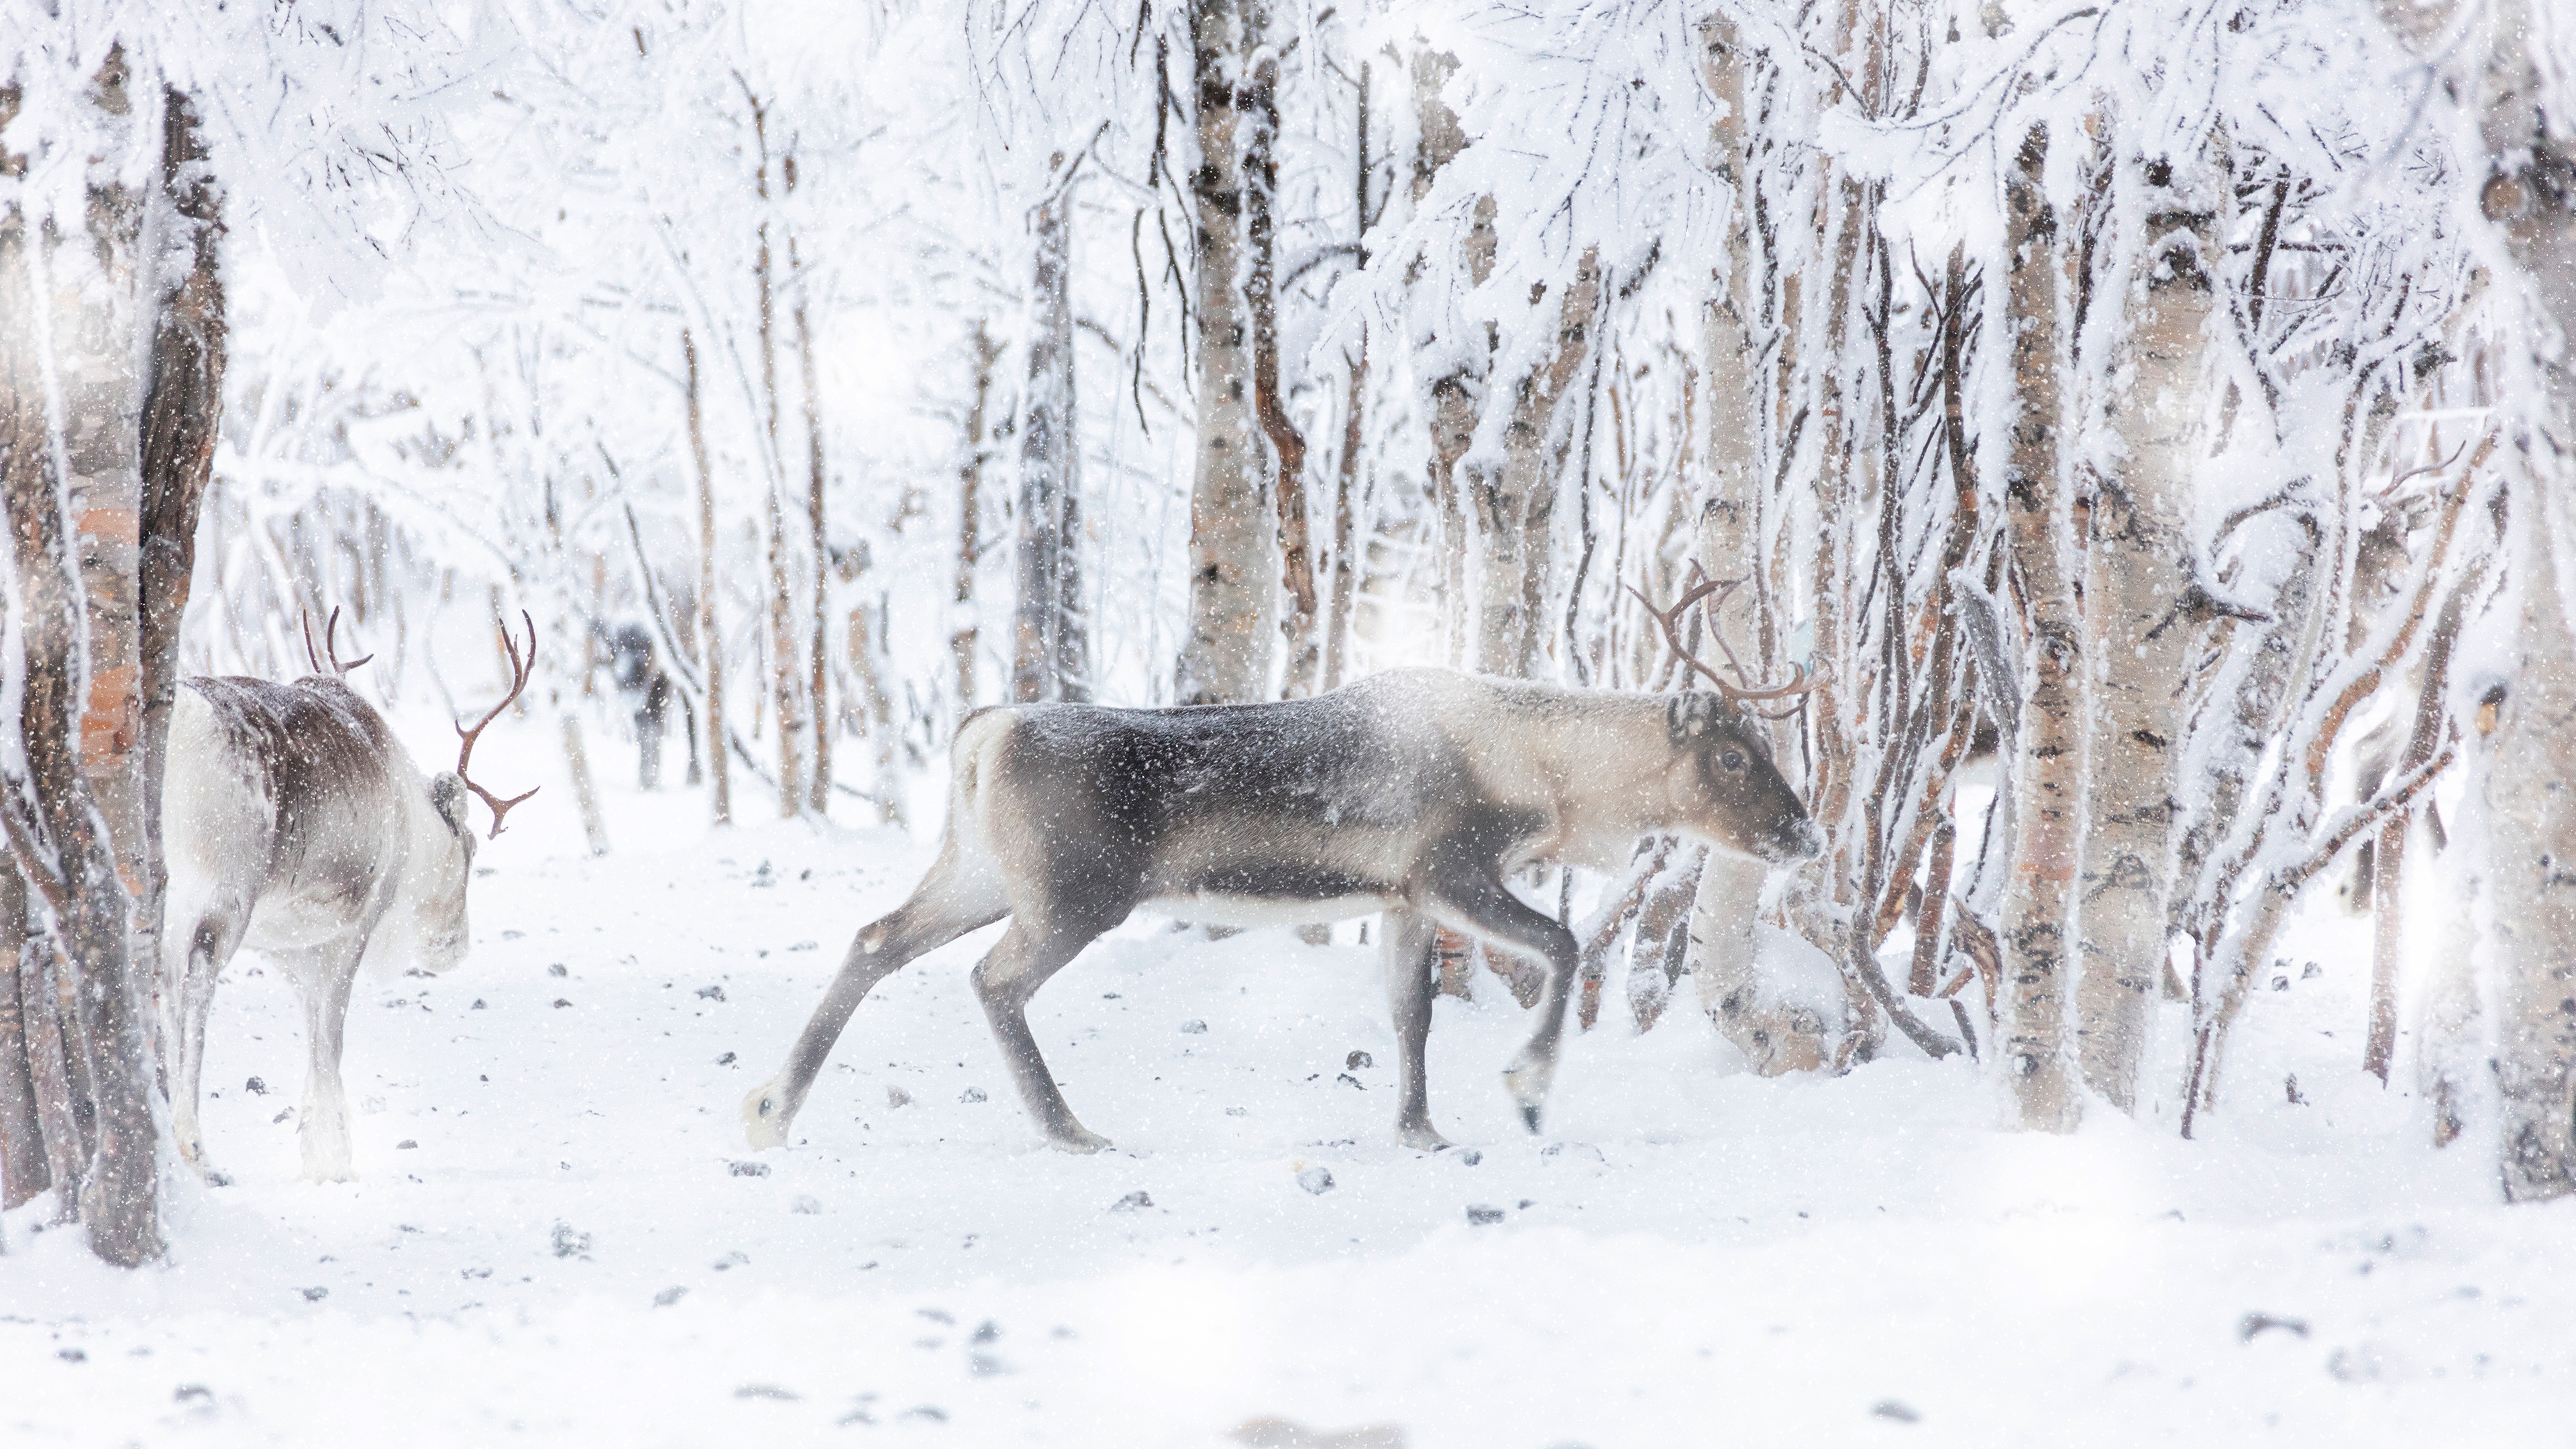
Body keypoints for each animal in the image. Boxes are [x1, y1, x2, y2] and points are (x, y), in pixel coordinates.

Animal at [160, 611, 538, 1183]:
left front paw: (317, 1148)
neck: (409, 814)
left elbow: (314, 1032)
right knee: (194, 982)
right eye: (470, 848)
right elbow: (331, 1039)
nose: (456, 947)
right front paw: (333, 1159)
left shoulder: (291, 947)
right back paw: (196, 1148)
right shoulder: (355, 925)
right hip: (218, 893)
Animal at [744, 574, 1819, 1156]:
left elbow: (1410, 1015)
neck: (1551, 777)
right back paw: (1069, 1129)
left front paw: (1421, 1130)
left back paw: (769, 1111)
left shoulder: (1401, 896)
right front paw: (1525, 1089)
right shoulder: (1452, 867)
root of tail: (981, 731)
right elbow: (1560, 944)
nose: (1806, 836)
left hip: (978, 874)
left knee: (876, 938)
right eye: (1732, 757)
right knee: (992, 978)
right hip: (1073, 895)